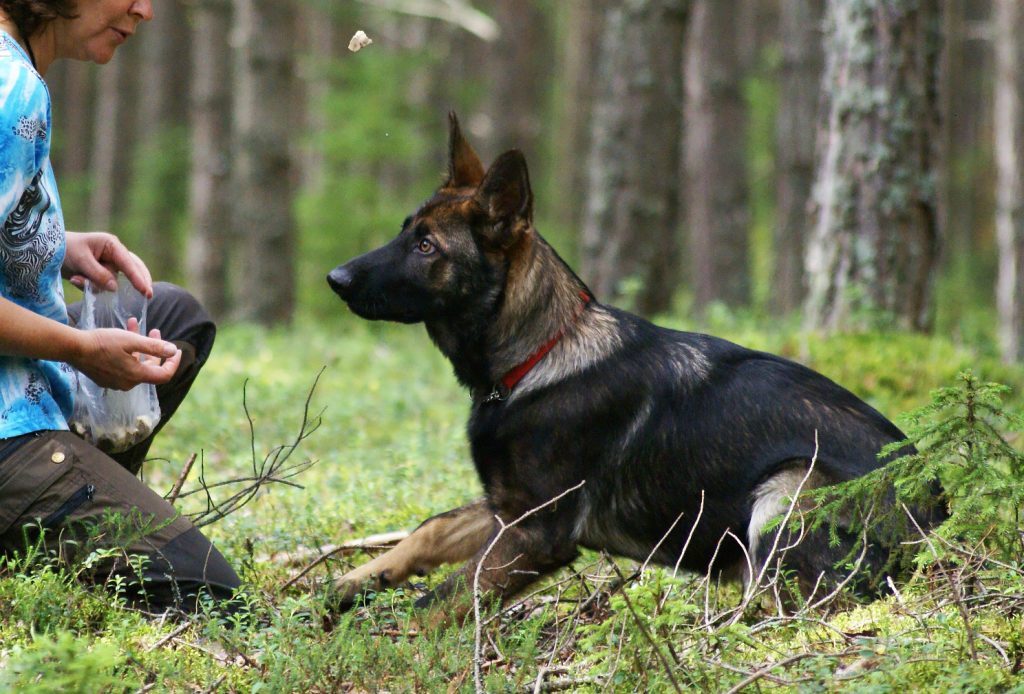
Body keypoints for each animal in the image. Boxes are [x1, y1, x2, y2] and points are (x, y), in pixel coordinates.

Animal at [329, 115, 942, 618]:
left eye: (427, 247)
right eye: (405, 231)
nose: (335, 278)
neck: (540, 353)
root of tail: (944, 519)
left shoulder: (537, 530)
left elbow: (440, 601)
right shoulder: (508, 508)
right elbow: (430, 529)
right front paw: (351, 582)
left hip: (785, 491)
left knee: (794, 603)